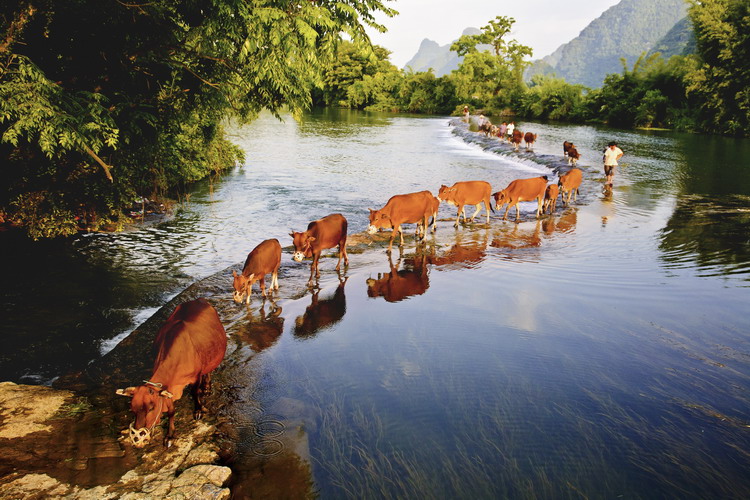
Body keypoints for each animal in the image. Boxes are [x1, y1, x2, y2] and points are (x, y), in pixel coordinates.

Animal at [114, 298, 226, 448]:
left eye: (151, 408)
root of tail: (199, 300)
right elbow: (171, 411)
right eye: (132, 409)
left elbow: (195, 393)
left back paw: (207, 387)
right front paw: (170, 435)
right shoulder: (168, 387)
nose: (137, 438)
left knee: (208, 371)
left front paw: (198, 410)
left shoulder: (195, 377)